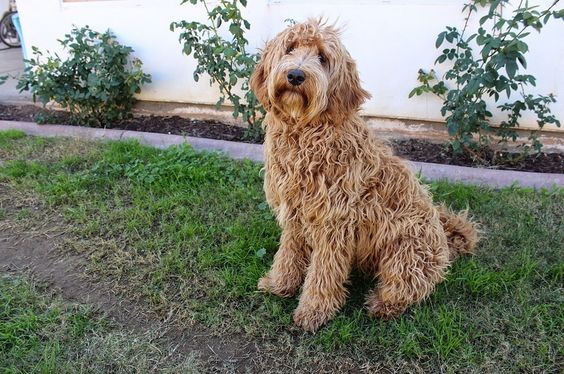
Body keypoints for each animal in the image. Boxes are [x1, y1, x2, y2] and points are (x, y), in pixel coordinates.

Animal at [250, 19, 476, 332]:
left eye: (322, 57)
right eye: (290, 48)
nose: (295, 75)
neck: (308, 133)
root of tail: (444, 241)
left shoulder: (334, 222)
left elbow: (323, 272)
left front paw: (313, 310)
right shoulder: (294, 213)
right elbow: (288, 254)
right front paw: (279, 284)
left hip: (405, 252)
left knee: (410, 287)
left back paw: (382, 303)